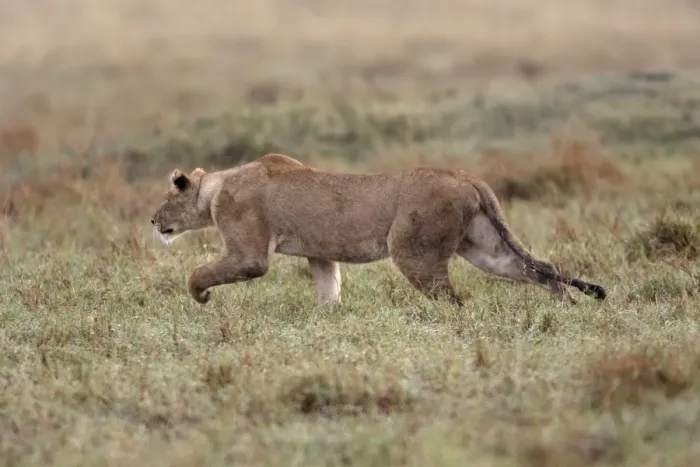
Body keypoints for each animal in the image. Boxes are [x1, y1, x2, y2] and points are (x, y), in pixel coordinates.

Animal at [150, 153, 607, 306]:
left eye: (167, 196)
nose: (154, 221)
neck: (215, 189)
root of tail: (466, 176)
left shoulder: (249, 255)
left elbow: (201, 273)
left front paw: (202, 296)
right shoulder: (320, 253)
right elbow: (328, 289)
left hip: (412, 250)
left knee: (455, 300)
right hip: (486, 248)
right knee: (540, 267)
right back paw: (565, 307)